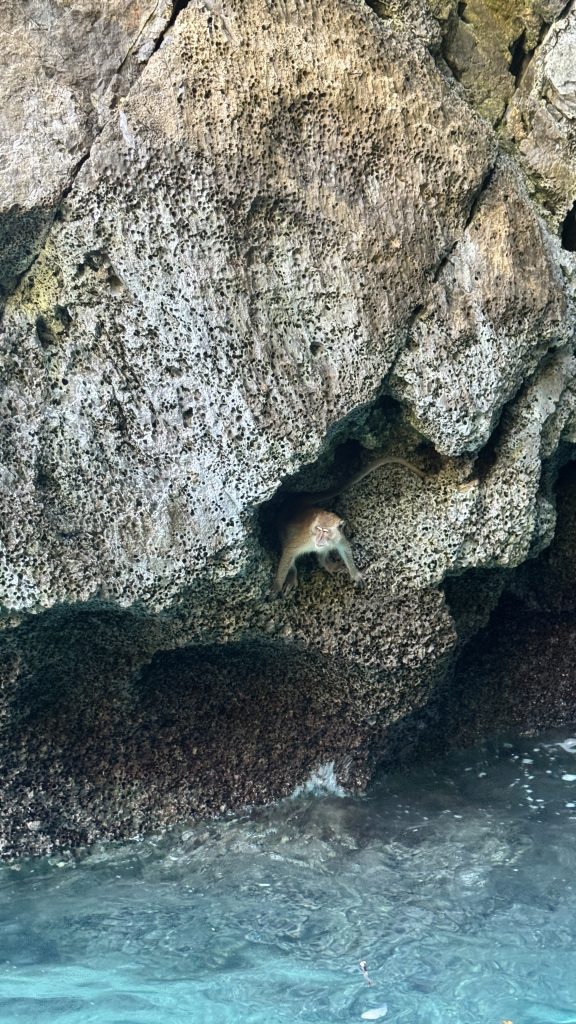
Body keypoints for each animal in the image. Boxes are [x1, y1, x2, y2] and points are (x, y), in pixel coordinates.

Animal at [272, 455, 428, 596]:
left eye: (326, 532)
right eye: (318, 529)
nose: (319, 539)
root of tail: (298, 503)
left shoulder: (338, 537)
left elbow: (344, 547)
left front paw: (355, 573)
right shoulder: (303, 539)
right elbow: (289, 552)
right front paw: (277, 586)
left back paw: (327, 564)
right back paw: (292, 575)